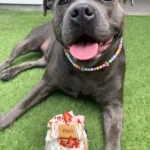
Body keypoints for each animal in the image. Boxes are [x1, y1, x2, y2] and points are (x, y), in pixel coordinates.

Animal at [0, 0, 134, 150]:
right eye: (63, 2)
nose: (81, 11)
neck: (86, 68)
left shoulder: (113, 106)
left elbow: (114, 138)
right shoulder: (45, 83)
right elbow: (23, 103)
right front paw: (4, 119)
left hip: (43, 59)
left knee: (33, 62)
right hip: (27, 43)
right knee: (11, 58)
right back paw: (5, 70)